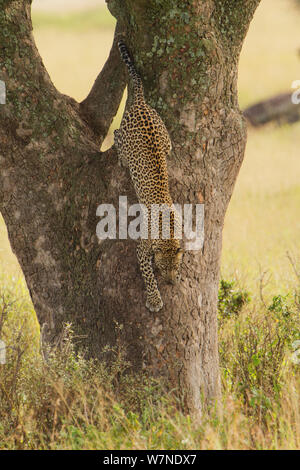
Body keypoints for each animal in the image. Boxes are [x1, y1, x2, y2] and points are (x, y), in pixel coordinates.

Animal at [113, 40, 183, 312]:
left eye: (177, 266)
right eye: (164, 266)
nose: (172, 282)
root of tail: (141, 103)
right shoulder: (142, 249)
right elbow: (148, 276)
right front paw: (154, 299)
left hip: (164, 136)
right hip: (125, 137)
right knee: (116, 135)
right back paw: (119, 154)